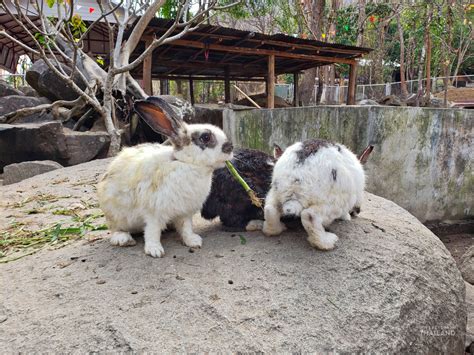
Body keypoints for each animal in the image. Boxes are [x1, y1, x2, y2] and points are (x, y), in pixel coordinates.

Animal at [97, 96, 233, 258]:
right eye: (205, 137)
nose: (230, 147)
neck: (187, 163)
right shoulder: (153, 213)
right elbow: (152, 232)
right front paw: (155, 250)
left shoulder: (185, 213)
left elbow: (186, 228)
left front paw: (193, 241)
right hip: (115, 216)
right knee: (115, 229)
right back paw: (123, 239)